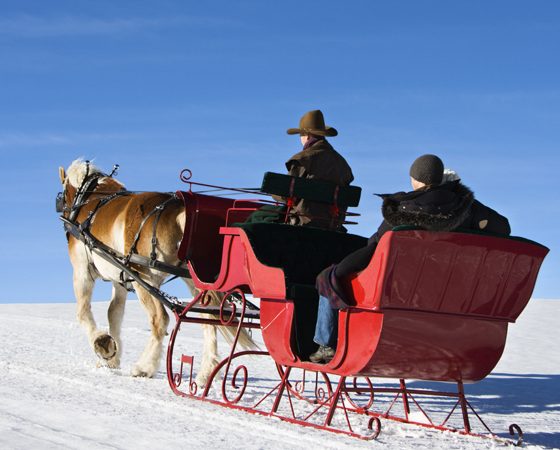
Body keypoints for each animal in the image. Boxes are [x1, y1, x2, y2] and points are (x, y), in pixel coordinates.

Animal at [56, 160, 254, 382]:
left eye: (62, 195)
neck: (91, 199)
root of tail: (178, 210)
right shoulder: (120, 278)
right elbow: (113, 313)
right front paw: (112, 360)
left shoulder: (82, 270)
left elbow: (82, 312)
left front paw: (103, 344)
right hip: (192, 280)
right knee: (209, 318)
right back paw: (206, 372)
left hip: (146, 278)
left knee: (160, 320)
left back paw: (145, 366)